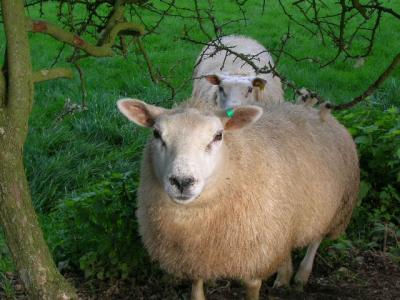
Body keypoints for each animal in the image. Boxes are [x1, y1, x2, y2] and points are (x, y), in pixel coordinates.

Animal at [116, 98, 360, 300]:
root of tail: (316, 111)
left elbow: (252, 289)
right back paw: (283, 277)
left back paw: (301, 276)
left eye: (218, 136)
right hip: (286, 220)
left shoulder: (255, 252)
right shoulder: (197, 254)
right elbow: (196, 290)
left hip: (333, 206)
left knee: (316, 239)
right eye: (157, 134)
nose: (182, 181)